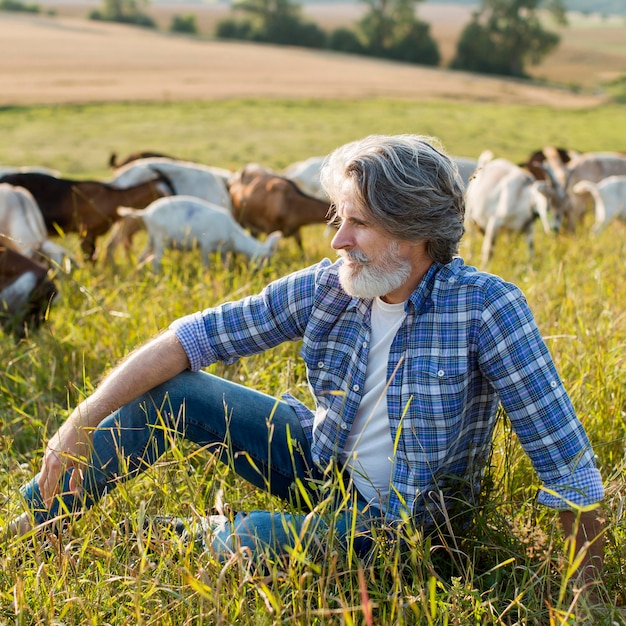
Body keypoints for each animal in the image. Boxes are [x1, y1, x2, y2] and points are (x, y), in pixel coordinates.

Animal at [116, 194, 282, 270]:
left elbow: (225, 264)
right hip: (160, 238)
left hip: (152, 237)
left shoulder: (223, 251)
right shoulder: (206, 244)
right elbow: (206, 265)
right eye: (266, 257)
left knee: (142, 257)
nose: (265, 271)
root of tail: (145, 213)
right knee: (155, 260)